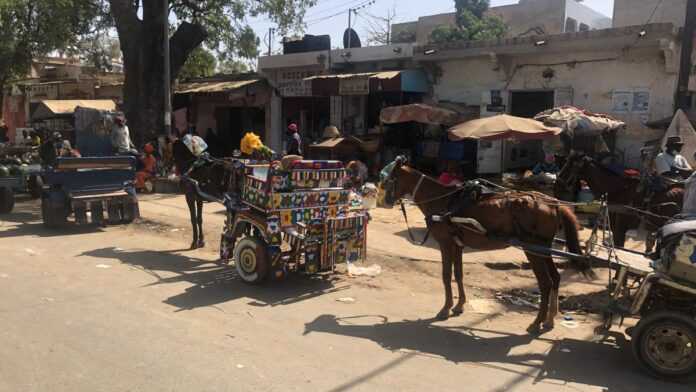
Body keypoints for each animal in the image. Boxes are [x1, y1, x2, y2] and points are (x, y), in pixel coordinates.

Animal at [380, 157, 592, 334]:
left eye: (390, 179)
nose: (386, 201)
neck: (444, 201)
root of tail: (553, 202)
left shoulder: (445, 243)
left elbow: (446, 275)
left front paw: (445, 309)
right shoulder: (457, 245)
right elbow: (458, 274)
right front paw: (459, 305)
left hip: (532, 249)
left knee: (545, 283)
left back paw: (536, 323)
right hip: (544, 248)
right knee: (555, 278)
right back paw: (549, 320)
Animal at [556, 152, 684, 247]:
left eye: (573, 165)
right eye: (566, 162)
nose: (558, 182)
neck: (619, 189)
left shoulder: (621, 225)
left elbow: (619, 244)